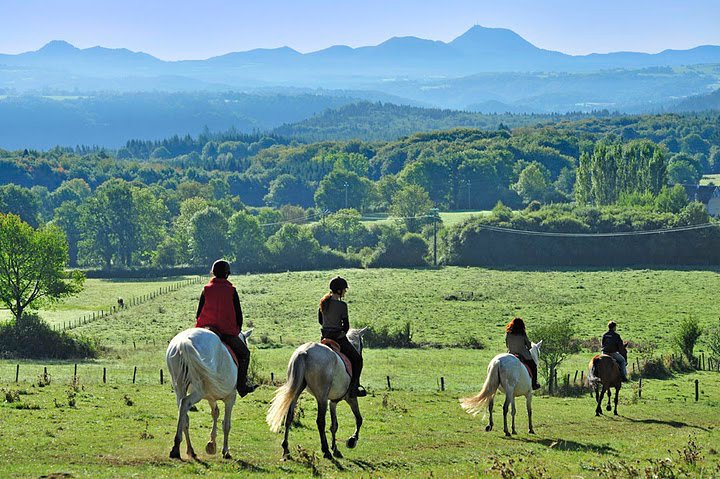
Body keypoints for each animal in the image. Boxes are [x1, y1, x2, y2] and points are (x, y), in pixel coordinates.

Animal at [167, 328, 253, 460]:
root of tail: (183, 342)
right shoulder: (230, 397)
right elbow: (226, 424)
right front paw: (225, 451)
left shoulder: (211, 398)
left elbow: (215, 413)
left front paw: (212, 444)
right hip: (199, 390)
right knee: (185, 403)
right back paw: (177, 447)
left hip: (179, 387)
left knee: (184, 415)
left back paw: (188, 449)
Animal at [266, 328, 368, 460]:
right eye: (362, 343)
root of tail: (304, 352)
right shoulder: (351, 398)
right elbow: (358, 419)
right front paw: (351, 440)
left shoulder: (333, 402)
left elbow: (334, 425)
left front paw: (335, 448)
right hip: (321, 398)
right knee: (320, 422)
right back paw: (325, 451)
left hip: (297, 391)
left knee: (289, 417)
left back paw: (286, 450)